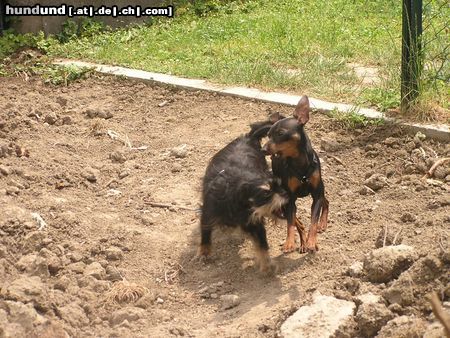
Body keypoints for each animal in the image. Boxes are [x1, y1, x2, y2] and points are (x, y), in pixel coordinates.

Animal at [198, 113, 288, 272]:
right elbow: (206, 230)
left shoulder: (255, 221)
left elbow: (262, 244)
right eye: (266, 194)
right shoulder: (208, 211)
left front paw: (267, 265)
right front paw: (205, 252)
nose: (286, 194)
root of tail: (248, 137)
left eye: (279, 185)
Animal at [262, 95, 328, 254]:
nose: (263, 149)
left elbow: (313, 221)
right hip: (281, 202)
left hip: (321, 189)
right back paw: (302, 242)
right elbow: (290, 223)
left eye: (280, 133)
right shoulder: (290, 199)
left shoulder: (316, 195)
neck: (300, 164)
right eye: (268, 135)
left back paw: (322, 223)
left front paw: (312, 241)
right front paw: (290, 242)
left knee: (326, 202)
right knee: (296, 220)